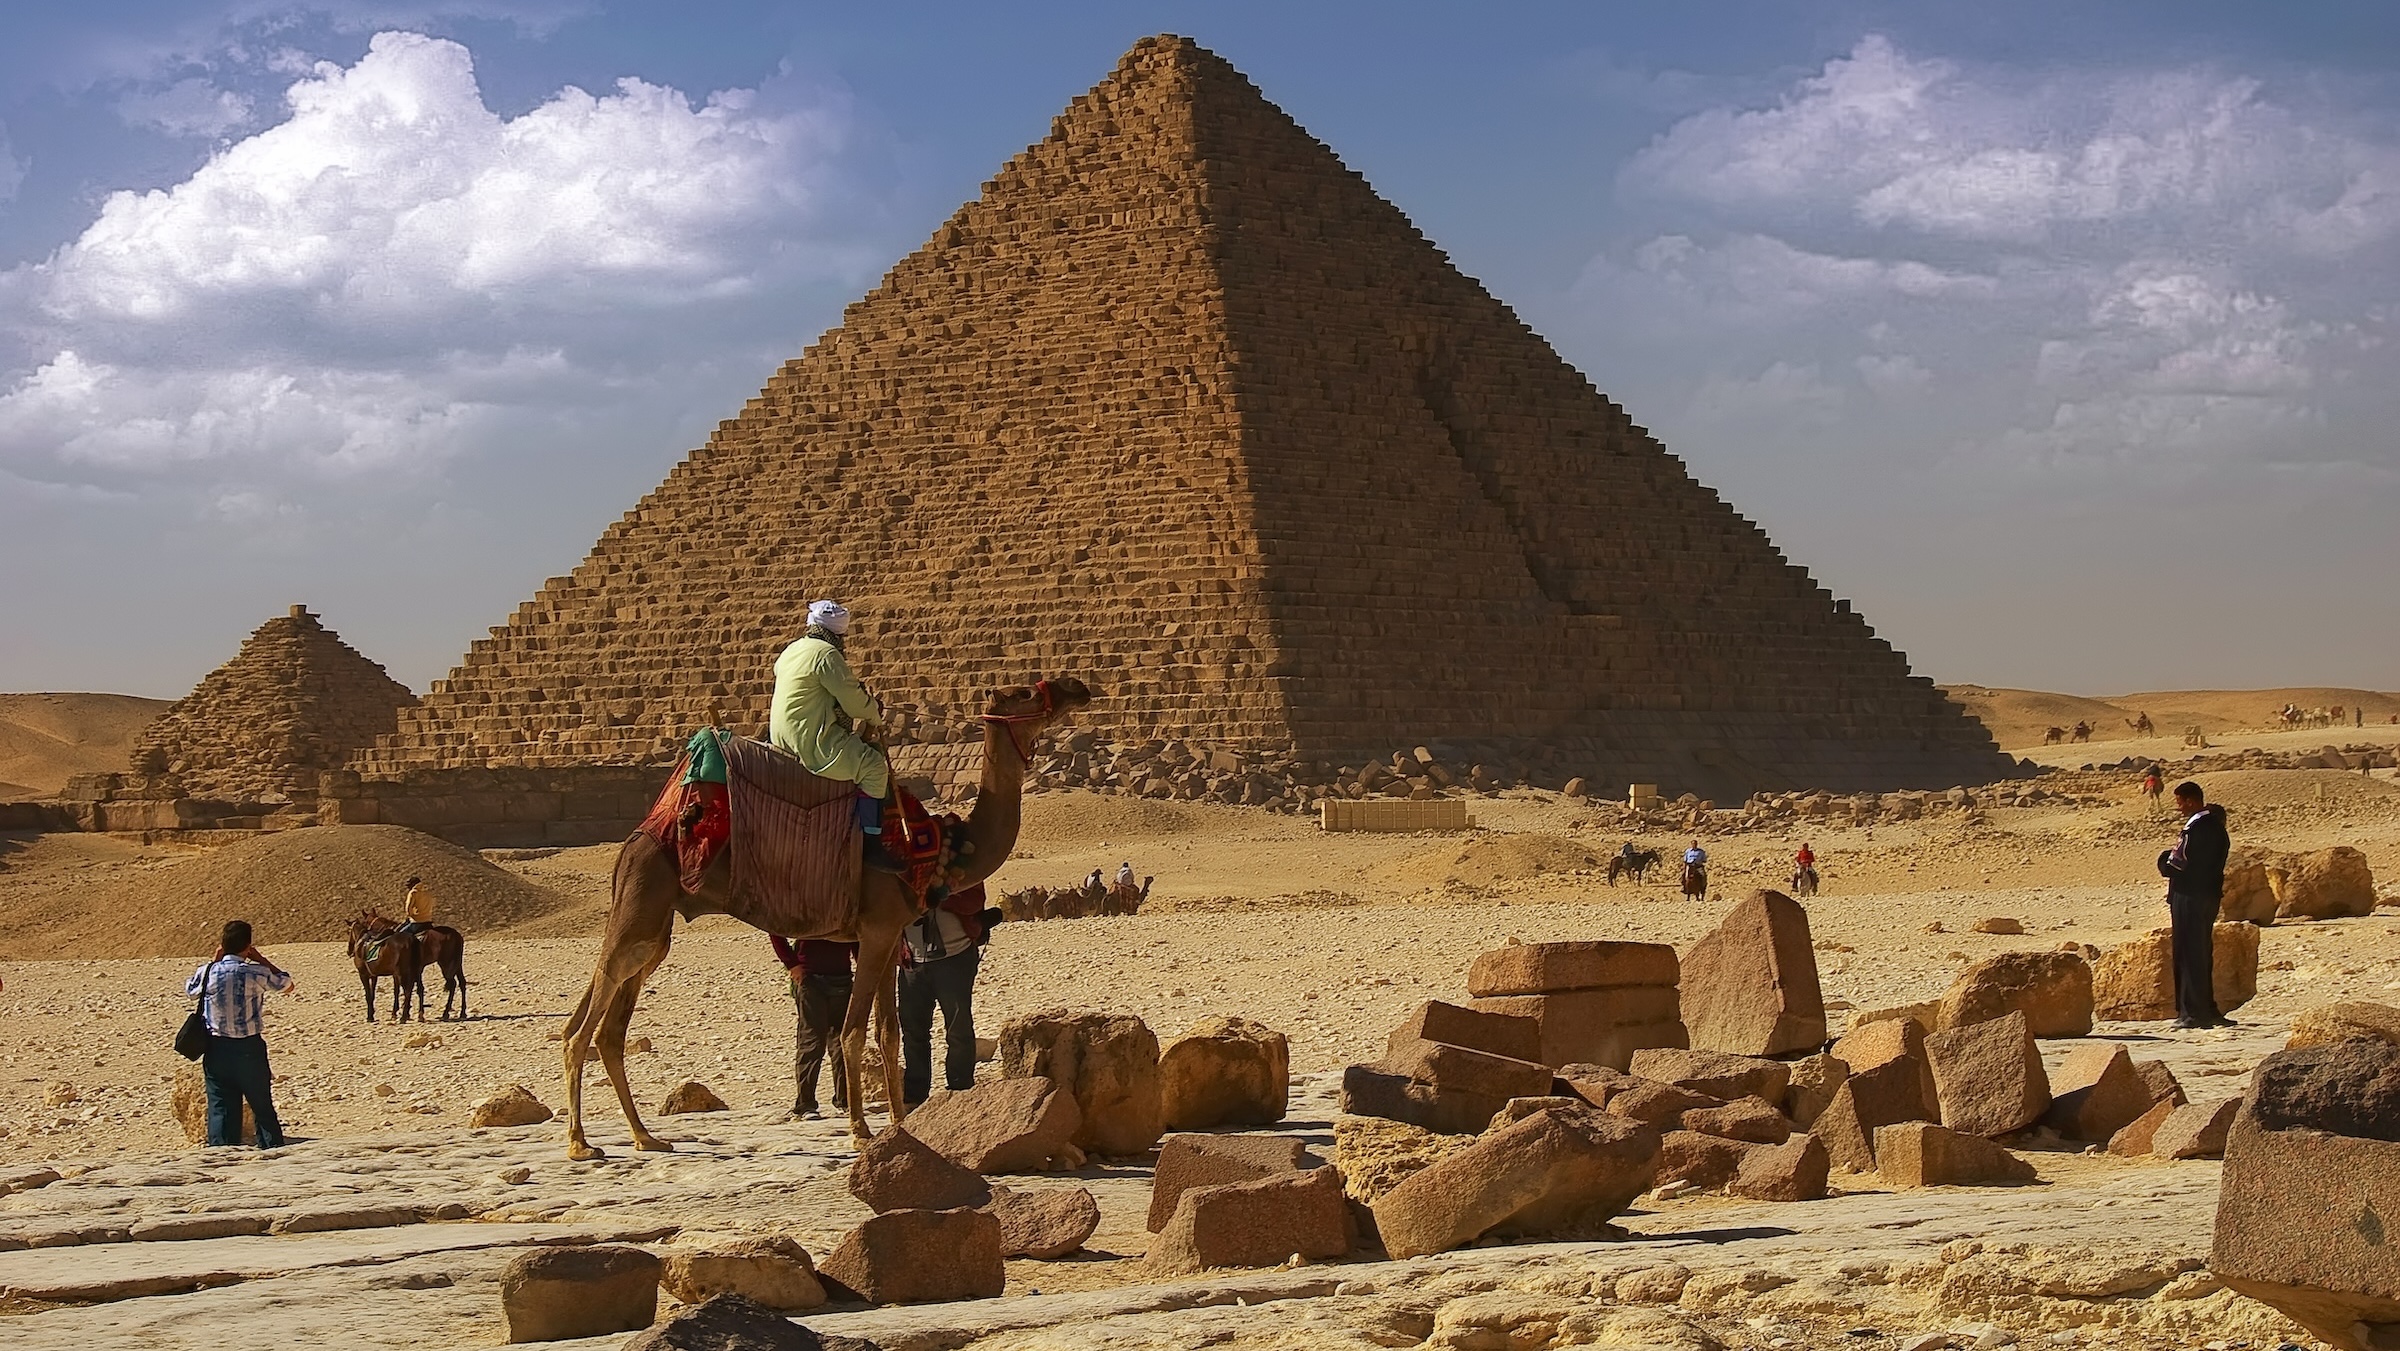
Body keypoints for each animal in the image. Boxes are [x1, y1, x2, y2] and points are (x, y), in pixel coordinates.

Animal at [559, 678, 1092, 1159]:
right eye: (1025, 692)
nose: (1078, 687)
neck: (941, 844)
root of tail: (635, 838)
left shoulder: (889, 938)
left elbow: (888, 1034)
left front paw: (901, 1123)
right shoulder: (876, 931)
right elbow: (854, 1033)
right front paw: (860, 1131)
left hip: (656, 926)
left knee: (609, 1026)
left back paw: (644, 1136)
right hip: (641, 904)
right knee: (583, 1026)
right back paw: (581, 1143)